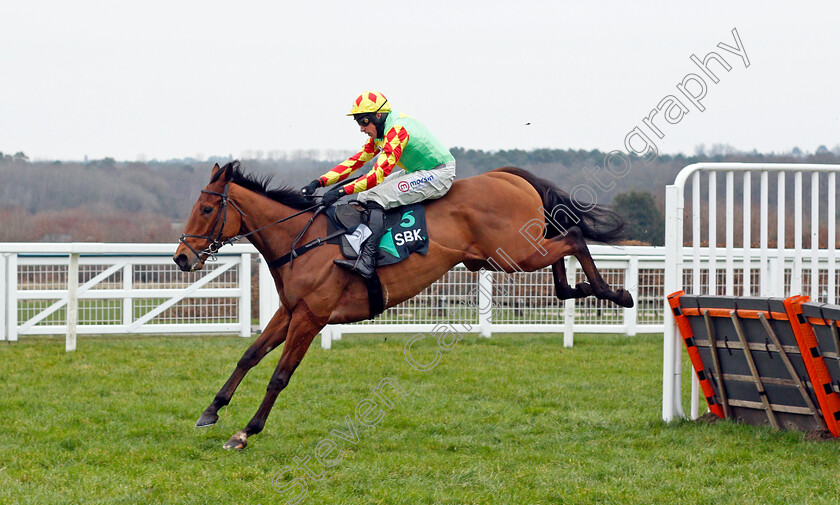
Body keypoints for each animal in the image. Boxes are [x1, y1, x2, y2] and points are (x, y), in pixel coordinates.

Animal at [172, 159, 632, 446]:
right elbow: (249, 355)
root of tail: (507, 177)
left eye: (207, 208)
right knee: (564, 244)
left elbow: (279, 376)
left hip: (515, 252)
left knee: (573, 236)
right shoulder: (289, 311)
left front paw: (246, 431)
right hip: (505, 254)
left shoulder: (311, 317)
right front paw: (211, 410)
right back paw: (579, 290)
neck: (302, 241)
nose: (181, 258)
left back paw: (614, 292)